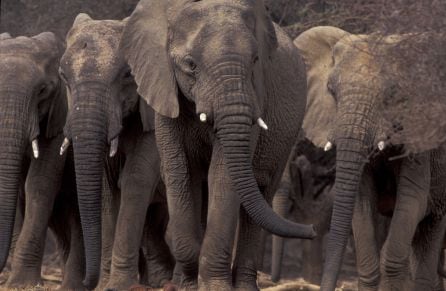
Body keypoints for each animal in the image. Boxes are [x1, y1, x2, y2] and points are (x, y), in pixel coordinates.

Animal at [60, 14, 175, 291]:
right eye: (62, 76)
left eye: (127, 75)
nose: (85, 281)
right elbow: (106, 188)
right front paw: (105, 286)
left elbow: (135, 179)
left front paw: (118, 285)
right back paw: (161, 279)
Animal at [120, 1, 318, 290]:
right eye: (190, 64)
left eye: (255, 61)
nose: (312, 229)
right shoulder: (165, 93)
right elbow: (180, 172)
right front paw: (187, 283)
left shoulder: (254, 97)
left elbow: (223, 177)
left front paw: (213, 285)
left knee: (261, 194)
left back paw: (244, 285)